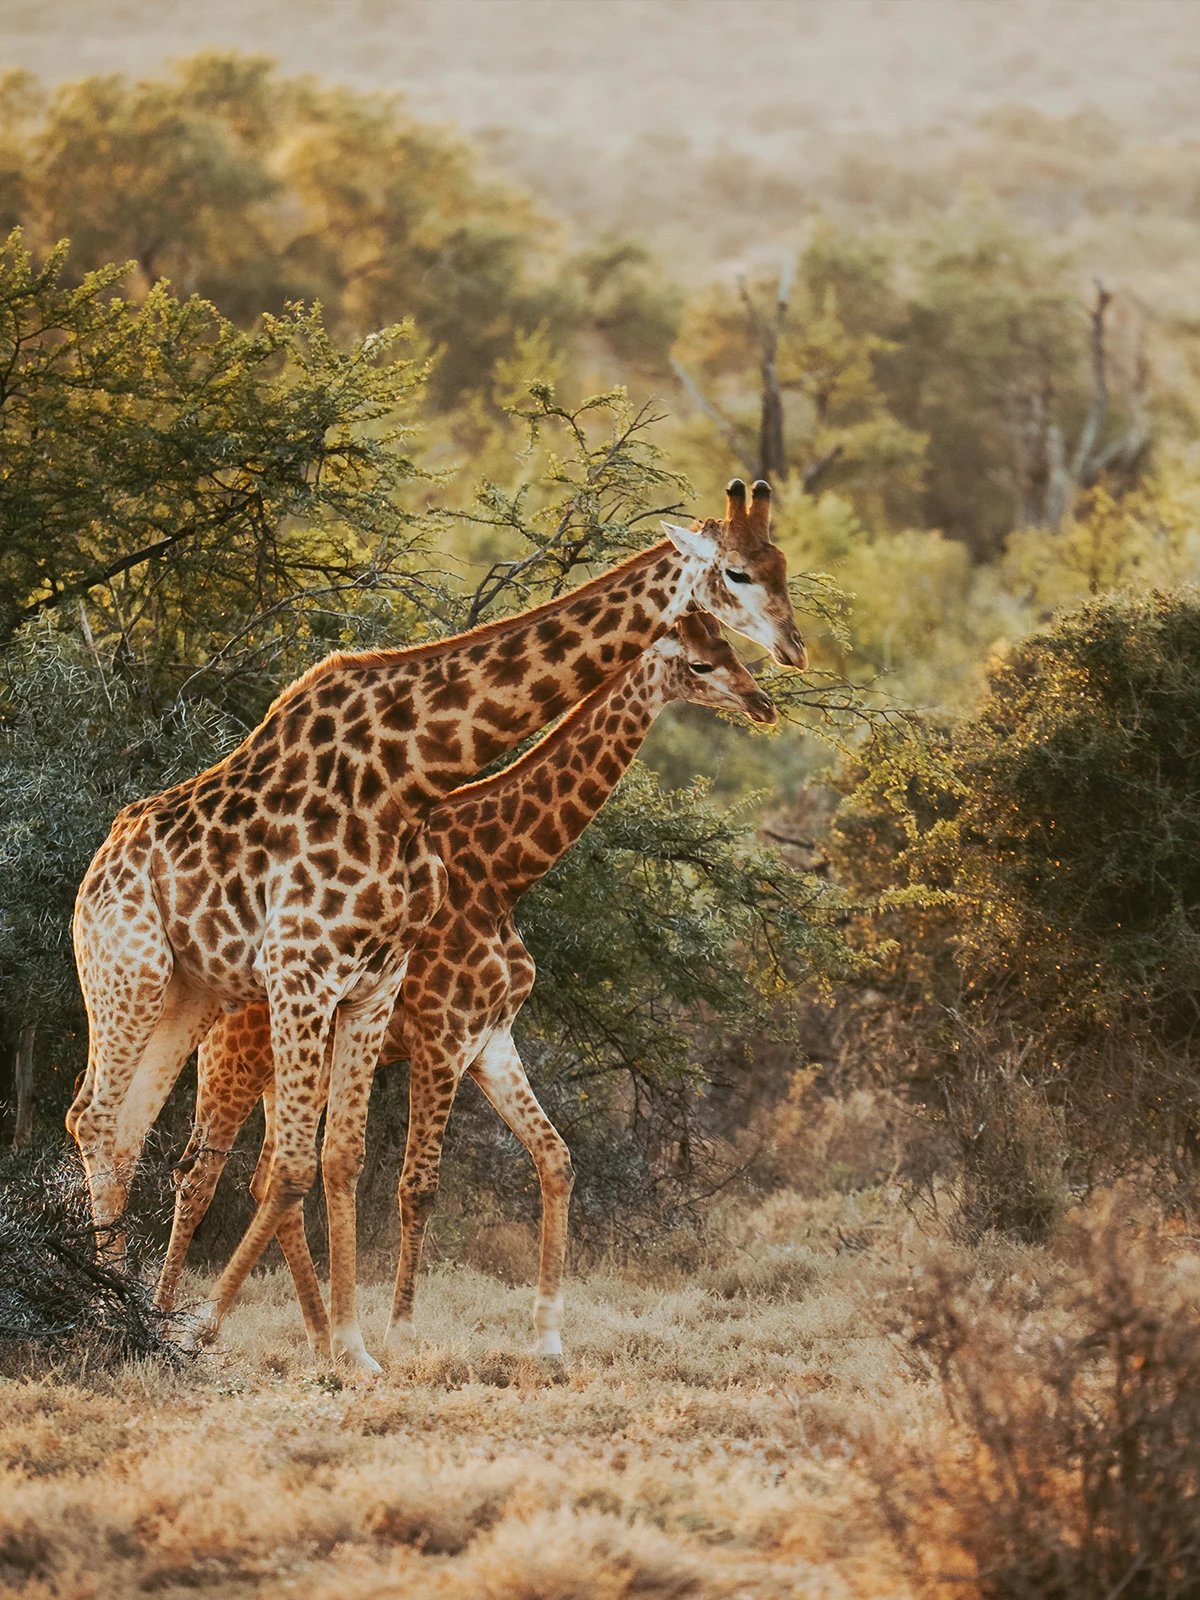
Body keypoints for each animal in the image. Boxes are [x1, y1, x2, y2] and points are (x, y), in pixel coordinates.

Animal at [68, 476, 802, 1370]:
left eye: (781, 564)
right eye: (733, 578)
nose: (776, 678)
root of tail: (97, 863)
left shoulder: (431, 1011)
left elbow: (414, 1160)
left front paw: (385, 1345)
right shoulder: (395, 1012)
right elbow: (390, 1180)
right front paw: (378, 1334)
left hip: (195, 1001)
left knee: (144, 1139)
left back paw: (151, 1313)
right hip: (140, 983)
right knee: (125, 1133)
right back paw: (134, 1317)